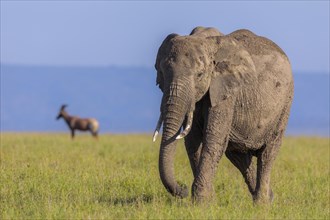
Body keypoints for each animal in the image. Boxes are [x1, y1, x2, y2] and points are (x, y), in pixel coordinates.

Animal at [152, 26, 294, 204]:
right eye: (161, 73)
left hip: (284, 105)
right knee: (239, 157)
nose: (182, 188)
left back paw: (262, 203)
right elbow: (192, 142)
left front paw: (201, 202)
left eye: (199, 75)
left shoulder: (226, 91)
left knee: (268, 153)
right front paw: (209, 201)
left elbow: (213, 138)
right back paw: (268, 197)